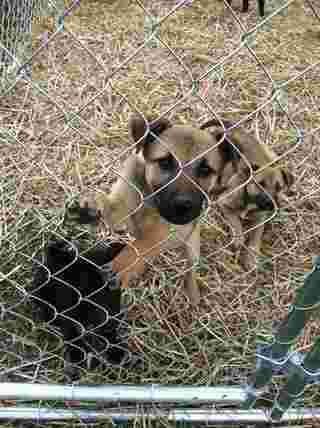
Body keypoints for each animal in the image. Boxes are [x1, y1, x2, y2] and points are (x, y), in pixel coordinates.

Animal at [76, 113, 225, 304]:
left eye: (205, 169)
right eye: (165, 162)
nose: (183, 205)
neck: (149, 198)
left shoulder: (166, 231)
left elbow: (144, 244)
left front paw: (122, 265)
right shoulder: (122, 206)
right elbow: (110, 205)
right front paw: (93, 203)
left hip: (192, 244)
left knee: (190, 268)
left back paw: (192, 293)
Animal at [201, 118, 294, 270]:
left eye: (279, 187)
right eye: (260, 184)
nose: (271, 204)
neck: (249, 201)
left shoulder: (260, 219)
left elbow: (255, 238)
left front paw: (251, 258)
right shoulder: (224, 204)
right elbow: (237, 224)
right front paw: (238, 240)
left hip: (271, 155)